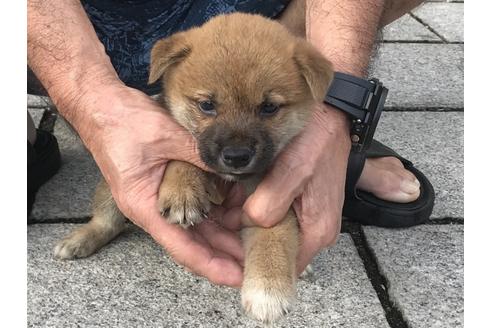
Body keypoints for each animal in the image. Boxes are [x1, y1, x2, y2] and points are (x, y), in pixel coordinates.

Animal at [52, 12, 330, 322]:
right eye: (207, 105)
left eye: (269, 108)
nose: (236, 156)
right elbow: (182, 158)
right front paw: (183, 192)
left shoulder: (272, 201)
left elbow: (275, 235)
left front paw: (268, 290)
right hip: (111, 186)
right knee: (107, 219)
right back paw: (80, 239)